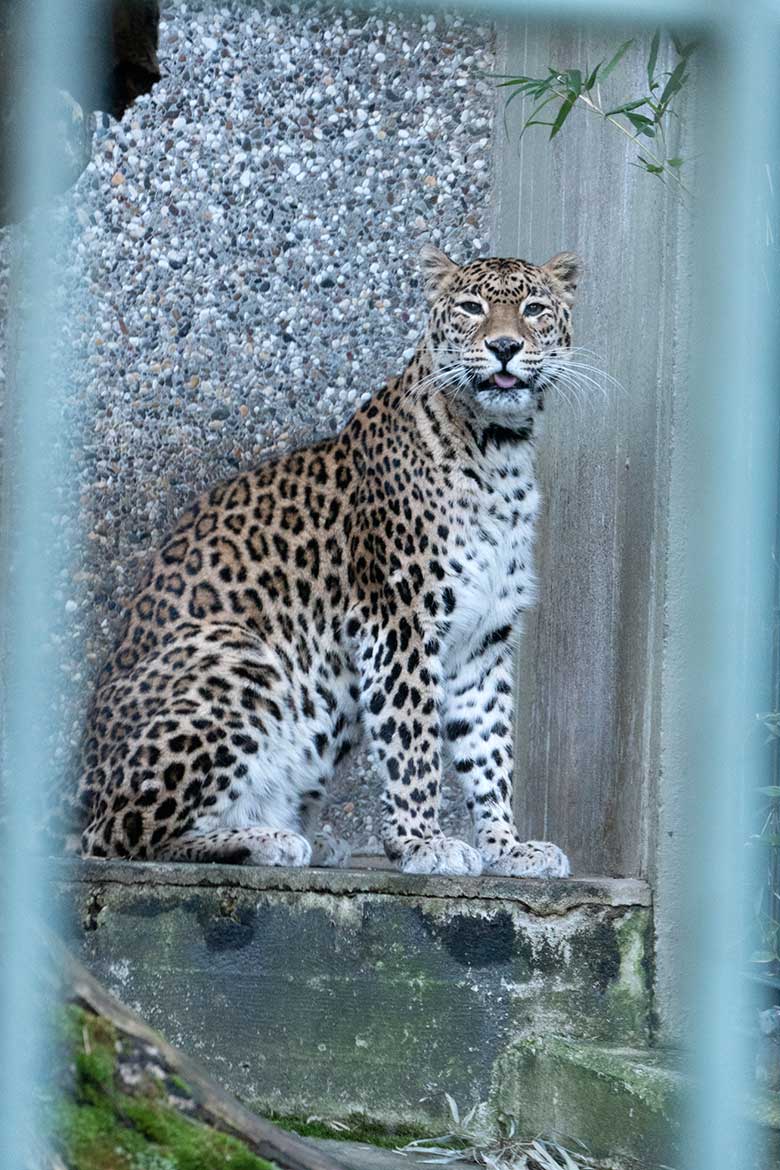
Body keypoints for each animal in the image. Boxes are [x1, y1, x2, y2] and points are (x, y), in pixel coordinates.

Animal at [77, 242, 580, 875]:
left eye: (534, 309)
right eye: (471, 307)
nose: (506, 346)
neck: (500, 449)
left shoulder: (485, 641)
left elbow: (490, 750)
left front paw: (507, 847)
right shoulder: (398, 620)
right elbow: (413, 741)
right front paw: (423, 842)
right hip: (241, 657)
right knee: (123, 835)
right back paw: (267, 840)